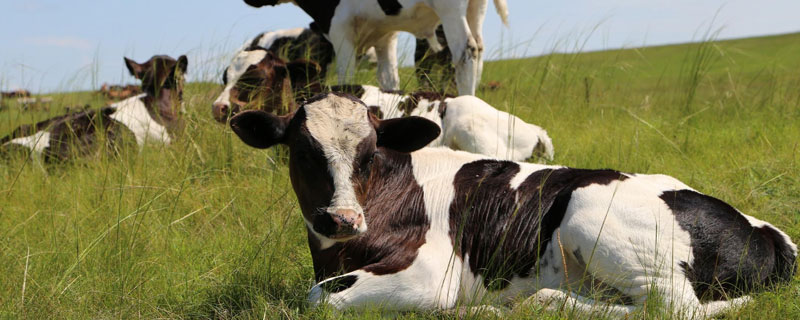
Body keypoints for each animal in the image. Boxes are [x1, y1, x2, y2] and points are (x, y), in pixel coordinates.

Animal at [228, 92, 796, 318]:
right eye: (301, 151)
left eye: (369, 153)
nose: (341, 218)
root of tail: (764, 229)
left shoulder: (429, 274)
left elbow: (316, 300)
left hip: (595, 213)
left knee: (674, 308)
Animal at [241, 0, 510, 95]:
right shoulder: (385, 38)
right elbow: (388, 80)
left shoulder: (340, 31)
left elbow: (346, 76)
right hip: (475, 9)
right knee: (479, 51)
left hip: (451, 8)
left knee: (465, 52)